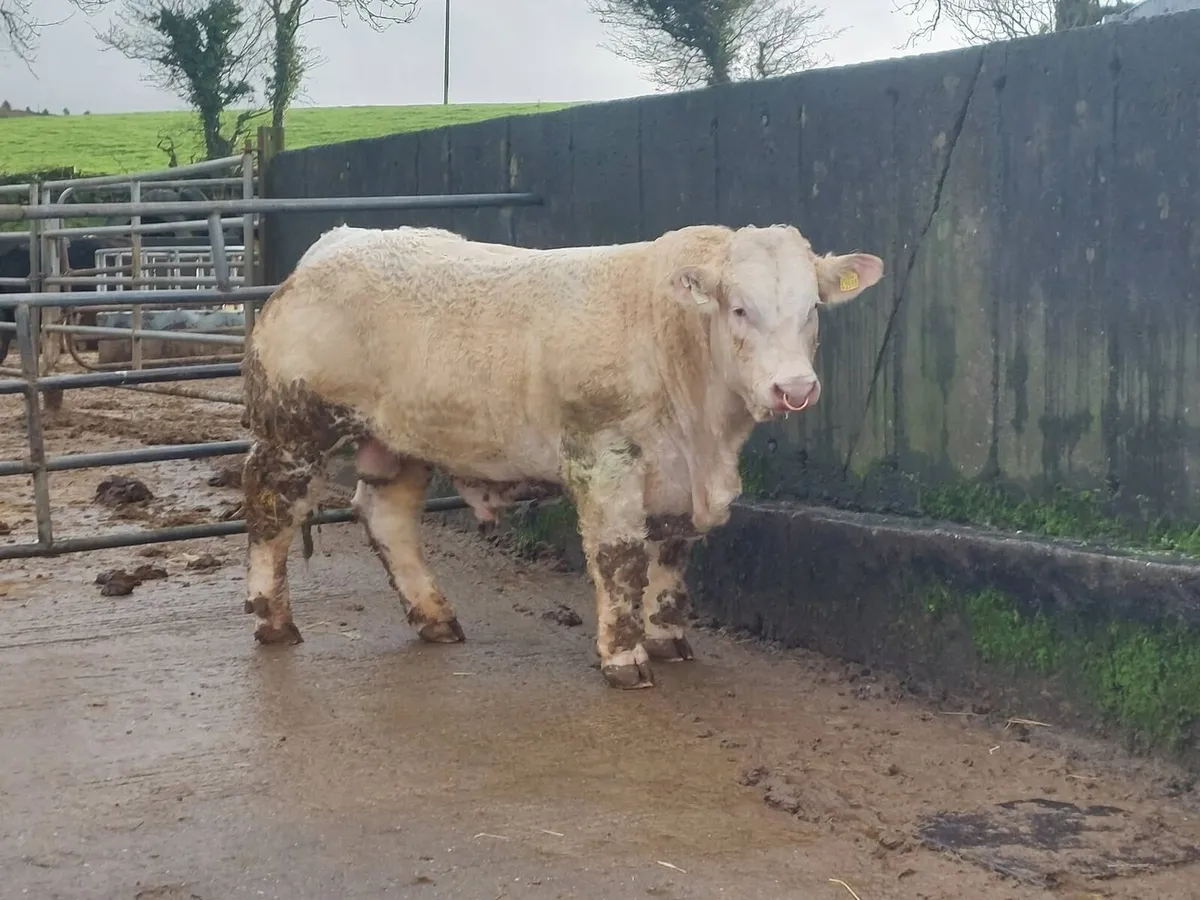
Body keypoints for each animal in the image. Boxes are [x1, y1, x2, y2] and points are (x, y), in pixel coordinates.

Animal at [241, 222, 884, 689]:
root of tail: (338, 241)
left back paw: (436, 617)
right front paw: (624, 659)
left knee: (387, 516)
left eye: (812, 309)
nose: (794, 388)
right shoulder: (604, 459)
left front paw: (666, 638)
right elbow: (620, 558)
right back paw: (274, 620)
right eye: (740, 309)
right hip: (294, 428)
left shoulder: (675, 480)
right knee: (271, 509)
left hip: (400, 437)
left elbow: (669, 555)